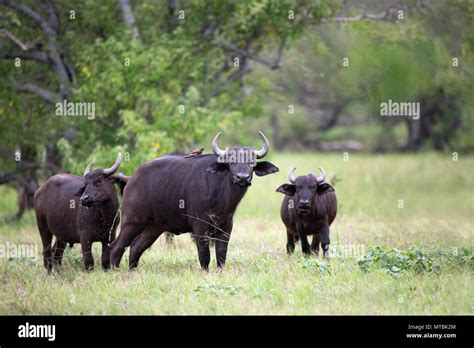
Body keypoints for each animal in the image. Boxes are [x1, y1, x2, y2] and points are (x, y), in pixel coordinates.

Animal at [109, 132, 278, 270]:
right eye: (232, 162)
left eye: (252, 162)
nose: (243, 177)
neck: (222, 196)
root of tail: (131, 179)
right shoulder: (199, 226)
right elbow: (204, 255)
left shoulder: (226, 226)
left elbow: (221, 255)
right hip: (132, 222)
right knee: (117, 246)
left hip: (154, 227)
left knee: (135, 247)